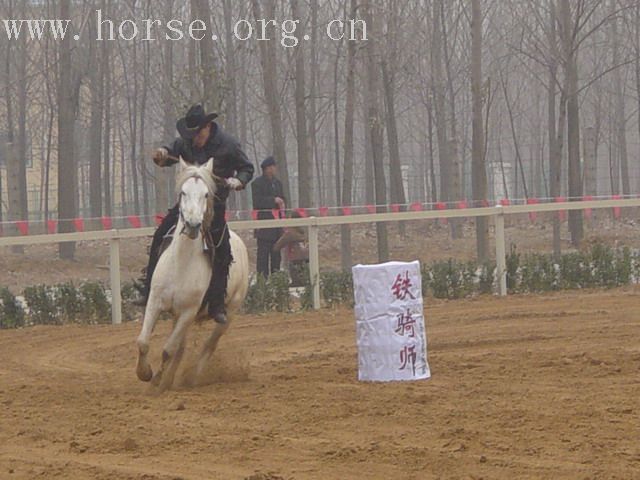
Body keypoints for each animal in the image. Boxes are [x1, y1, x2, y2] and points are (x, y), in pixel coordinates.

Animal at [136, 159, 249, 392]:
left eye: (206, 194)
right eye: (183, 192)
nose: (193, 224)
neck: (181, 263)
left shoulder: (188, 312)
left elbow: (168, 350)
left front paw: (157, 381)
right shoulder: (155, 302)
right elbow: (143, 342)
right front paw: (145, 373)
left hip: (229, 313)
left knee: (209, 345)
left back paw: (192, 378)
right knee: (181, 348)